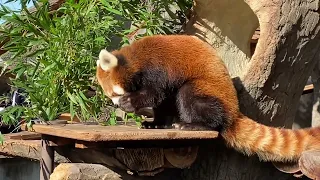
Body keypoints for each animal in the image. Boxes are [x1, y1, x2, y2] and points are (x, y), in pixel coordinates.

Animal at [96, 34, 320, 169]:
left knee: (191, 97)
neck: (136, 59)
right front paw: (154, 123)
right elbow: (162, 102)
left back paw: (193, 125)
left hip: (205, 90)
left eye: (114, 93)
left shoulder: (159, 69)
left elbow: (155, 93)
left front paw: (131, 103)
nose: (116, 104)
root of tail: (234, 112)